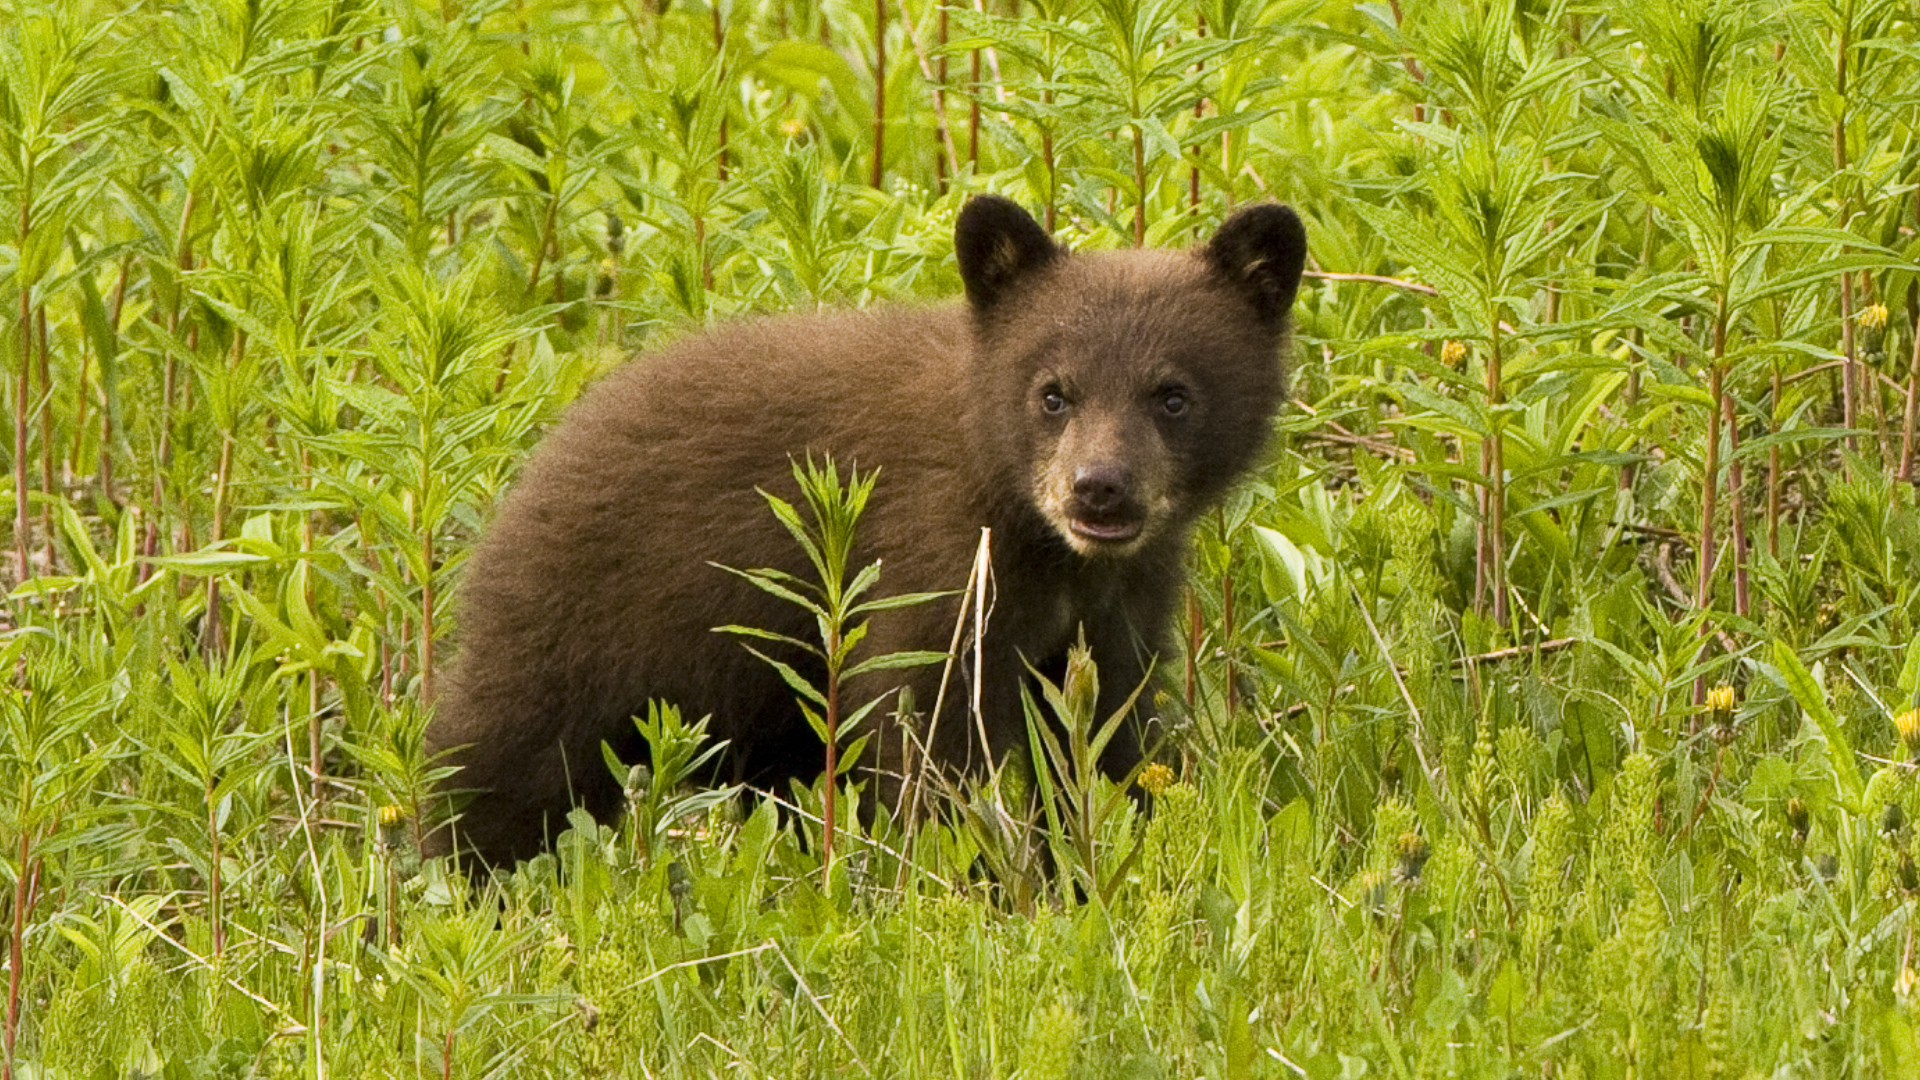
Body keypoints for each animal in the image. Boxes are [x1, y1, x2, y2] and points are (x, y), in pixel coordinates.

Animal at [424, 195, 1306, 867]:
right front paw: (969, 883)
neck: (1050, 549)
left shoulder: (1123, 605)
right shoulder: (932, 561)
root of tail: (545, 451)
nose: (1099, 488)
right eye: (1054, 392)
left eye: (1173, 395)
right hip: (583, 624)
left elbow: (1103, 737)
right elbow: (929, 739)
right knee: (499, 761)